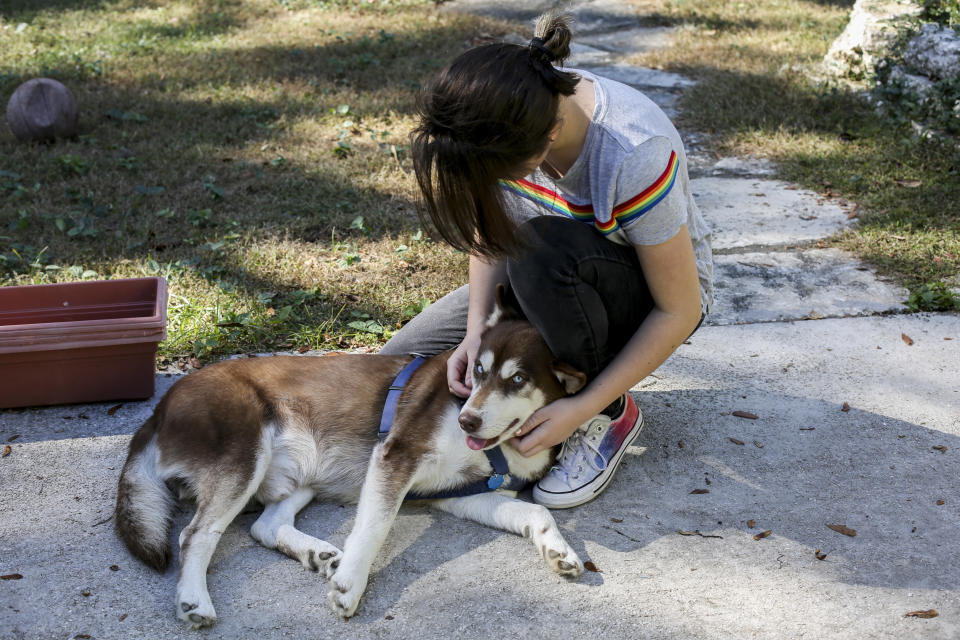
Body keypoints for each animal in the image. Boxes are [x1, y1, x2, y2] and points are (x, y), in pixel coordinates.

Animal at [117, 292, 588, 628]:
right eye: (477, 371)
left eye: (518, 379)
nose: (467, 419)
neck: (500, 447)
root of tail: (159, 409)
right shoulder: (395, 456)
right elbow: (374, 528)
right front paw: (352, 584)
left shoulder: (459, 494)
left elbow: (536, 510)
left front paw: (557, 550)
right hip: (245, 456)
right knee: (195, 534)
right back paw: (194, 598)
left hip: (300, 475)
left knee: (263, 526)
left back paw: (317, 553)